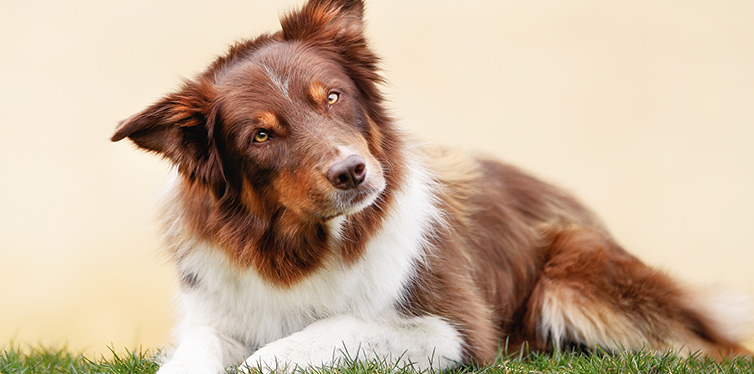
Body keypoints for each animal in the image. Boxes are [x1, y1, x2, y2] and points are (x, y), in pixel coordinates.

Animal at [113, 0, 752, 372]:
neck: (304, 248)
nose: (353, 172)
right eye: (261, 135)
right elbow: (198, 352)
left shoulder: (457, 329)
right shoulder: (210, 316)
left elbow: (327, 331)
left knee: (713, 347)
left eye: (333, 97)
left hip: (573, 275)